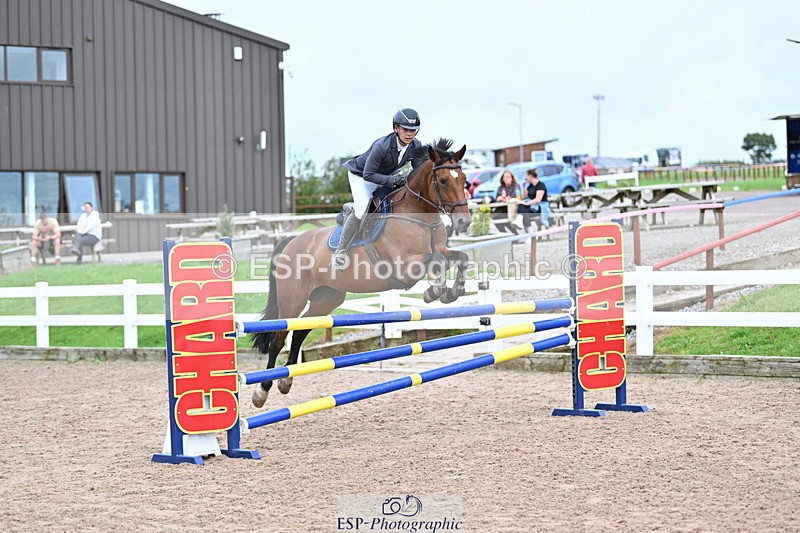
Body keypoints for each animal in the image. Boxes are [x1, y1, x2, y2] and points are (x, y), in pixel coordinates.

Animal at [250, 138, 472, 408]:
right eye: (443, 181)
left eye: (464, 180)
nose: (464, 222)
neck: (419, 215)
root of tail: (290, 242)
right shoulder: (405, 265)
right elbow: (437, 261)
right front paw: (435, 291)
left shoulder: (440, 250)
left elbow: (459, 258)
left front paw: (452, 292)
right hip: (292, 300)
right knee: (279, 338)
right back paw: (262, 391)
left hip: (327, 298)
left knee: (301, 331)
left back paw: (286, 380)